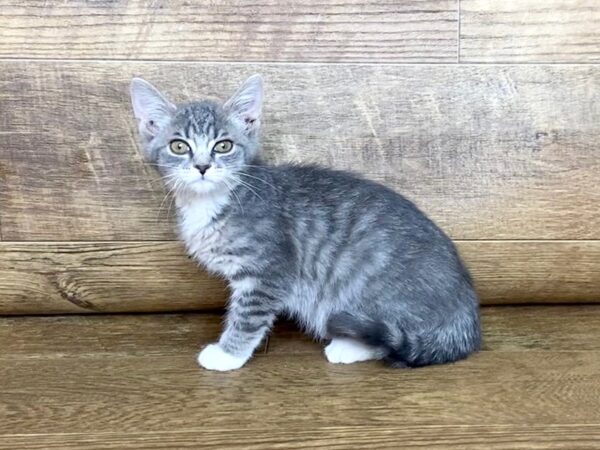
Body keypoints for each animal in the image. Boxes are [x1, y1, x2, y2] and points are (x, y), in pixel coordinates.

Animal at [129, 74, 480, 372]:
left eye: (223, 145)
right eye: (179, 146)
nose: (202, 166)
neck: (212, 202)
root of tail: (467, 318)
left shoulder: (268, 272)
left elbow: (247, 316)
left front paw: (228, 354)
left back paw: (349, 346)